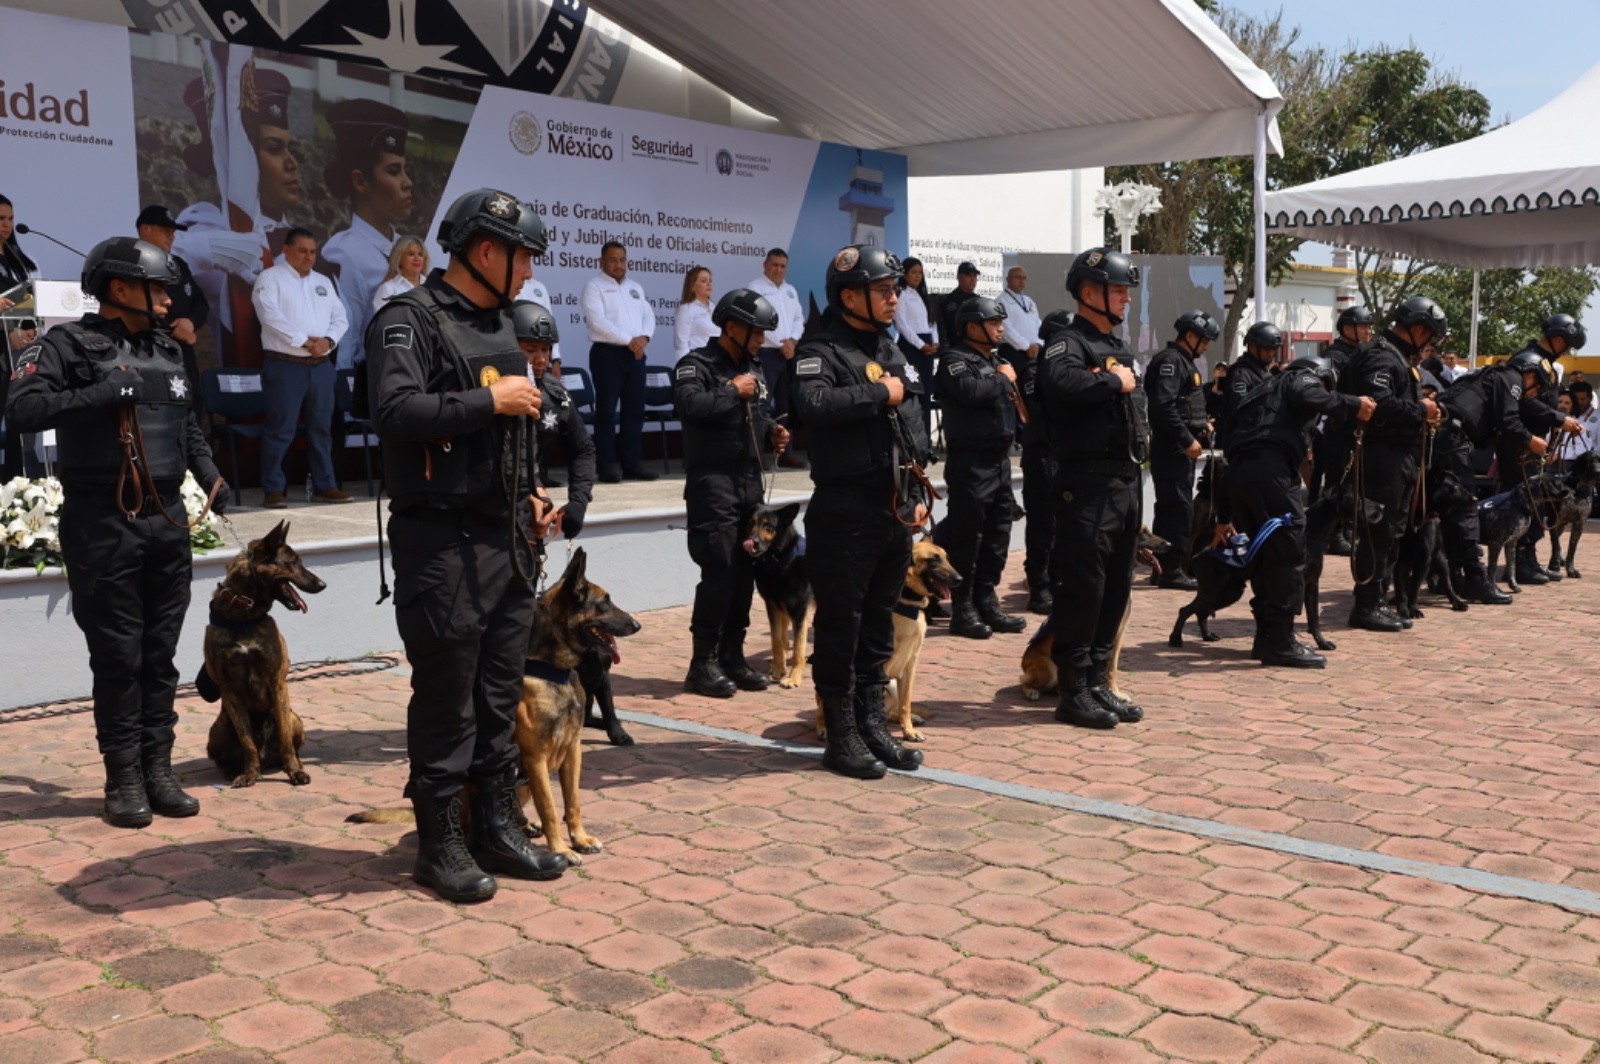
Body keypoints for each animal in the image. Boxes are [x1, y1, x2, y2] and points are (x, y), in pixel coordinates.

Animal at [200, 518, 324, 784]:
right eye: (293, 563)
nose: (322, 584)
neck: (244, 615)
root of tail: (268, 758)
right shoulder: (229, 690)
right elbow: (247, 742)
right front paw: (249, 774)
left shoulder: (277, 682)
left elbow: (286, 739)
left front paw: (294, 771)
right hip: (218, 729)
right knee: (224, 756)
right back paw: (232, 770)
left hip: (294, 718)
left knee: (291, 743)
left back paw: (294, 764)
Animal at [745, 505, 819, 688]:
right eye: (751, 523)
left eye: (768, 526)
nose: (752, 542)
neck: (779, 560)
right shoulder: (773, 606)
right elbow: (776, 640)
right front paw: (779, 668)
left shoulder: (799, 611)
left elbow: (798, 647)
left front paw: (794, 677)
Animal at [812, 540, 960, 739]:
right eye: (934, 560)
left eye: (946, 558)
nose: (960, 579)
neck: (907, 601)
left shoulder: (909, 667)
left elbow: (906, 703)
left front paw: (909, 730)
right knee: (822, 709)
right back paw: (824, 728)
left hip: (894, 686)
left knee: (890, 711)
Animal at [1171, 486, 1382, 652]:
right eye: (1359, 499)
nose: (1383, 507)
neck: (1310, 534)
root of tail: (1199, 554)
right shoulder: (1293, 584)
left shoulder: (1312, 585)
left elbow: (1314, 619)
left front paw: (1322, 643)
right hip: (1213, 591)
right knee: (1185, 610)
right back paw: (1175, 639)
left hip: (1229, 592)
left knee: (1201, 612)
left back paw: (1207, 636)